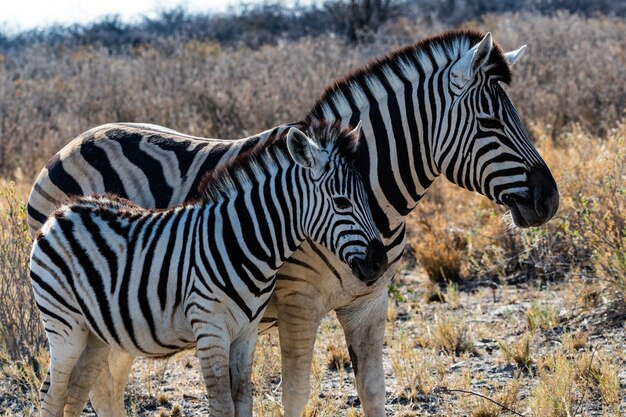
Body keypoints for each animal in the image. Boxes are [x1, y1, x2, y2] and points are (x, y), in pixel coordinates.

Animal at [30, 122, 386, 416]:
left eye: (368, 198)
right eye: (342, 202)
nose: (379, 262)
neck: (242, 242)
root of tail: (63, 210)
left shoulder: (246, 333)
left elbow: (243, 400)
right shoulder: (209, 327)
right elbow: (222, 405)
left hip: (96, 332)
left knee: (76, 392)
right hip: (64, 326)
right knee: (53, 395)